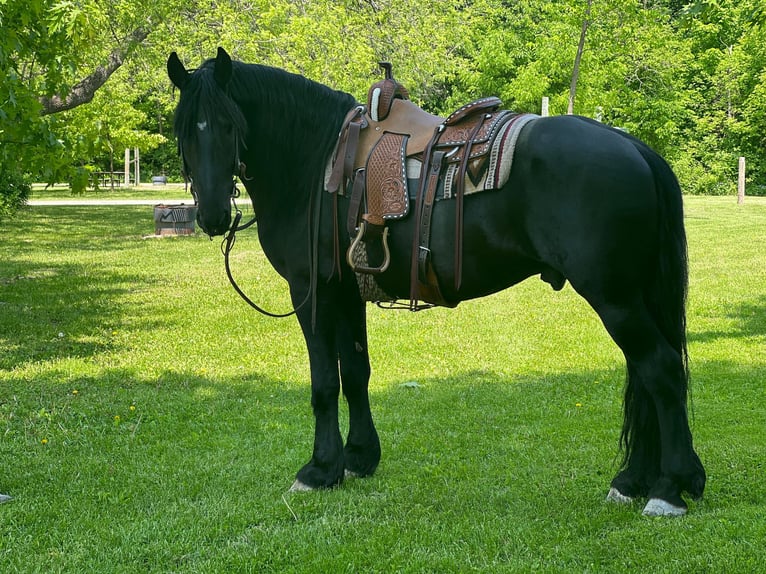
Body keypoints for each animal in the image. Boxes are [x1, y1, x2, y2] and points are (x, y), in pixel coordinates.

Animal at [168, 48, 708, 516]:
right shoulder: (347, 293)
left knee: (659, 369)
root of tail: (634, 146)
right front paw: (359, 459)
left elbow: (324, 383)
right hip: (629, 297)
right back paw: (633, 481)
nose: (212, 214)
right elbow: (355, 374)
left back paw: (669, 488)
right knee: (644, 374)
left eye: (229, 125)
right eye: (183, 131)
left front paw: (320, 469)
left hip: (615, 298)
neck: (316, 160)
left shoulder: (311, 292)